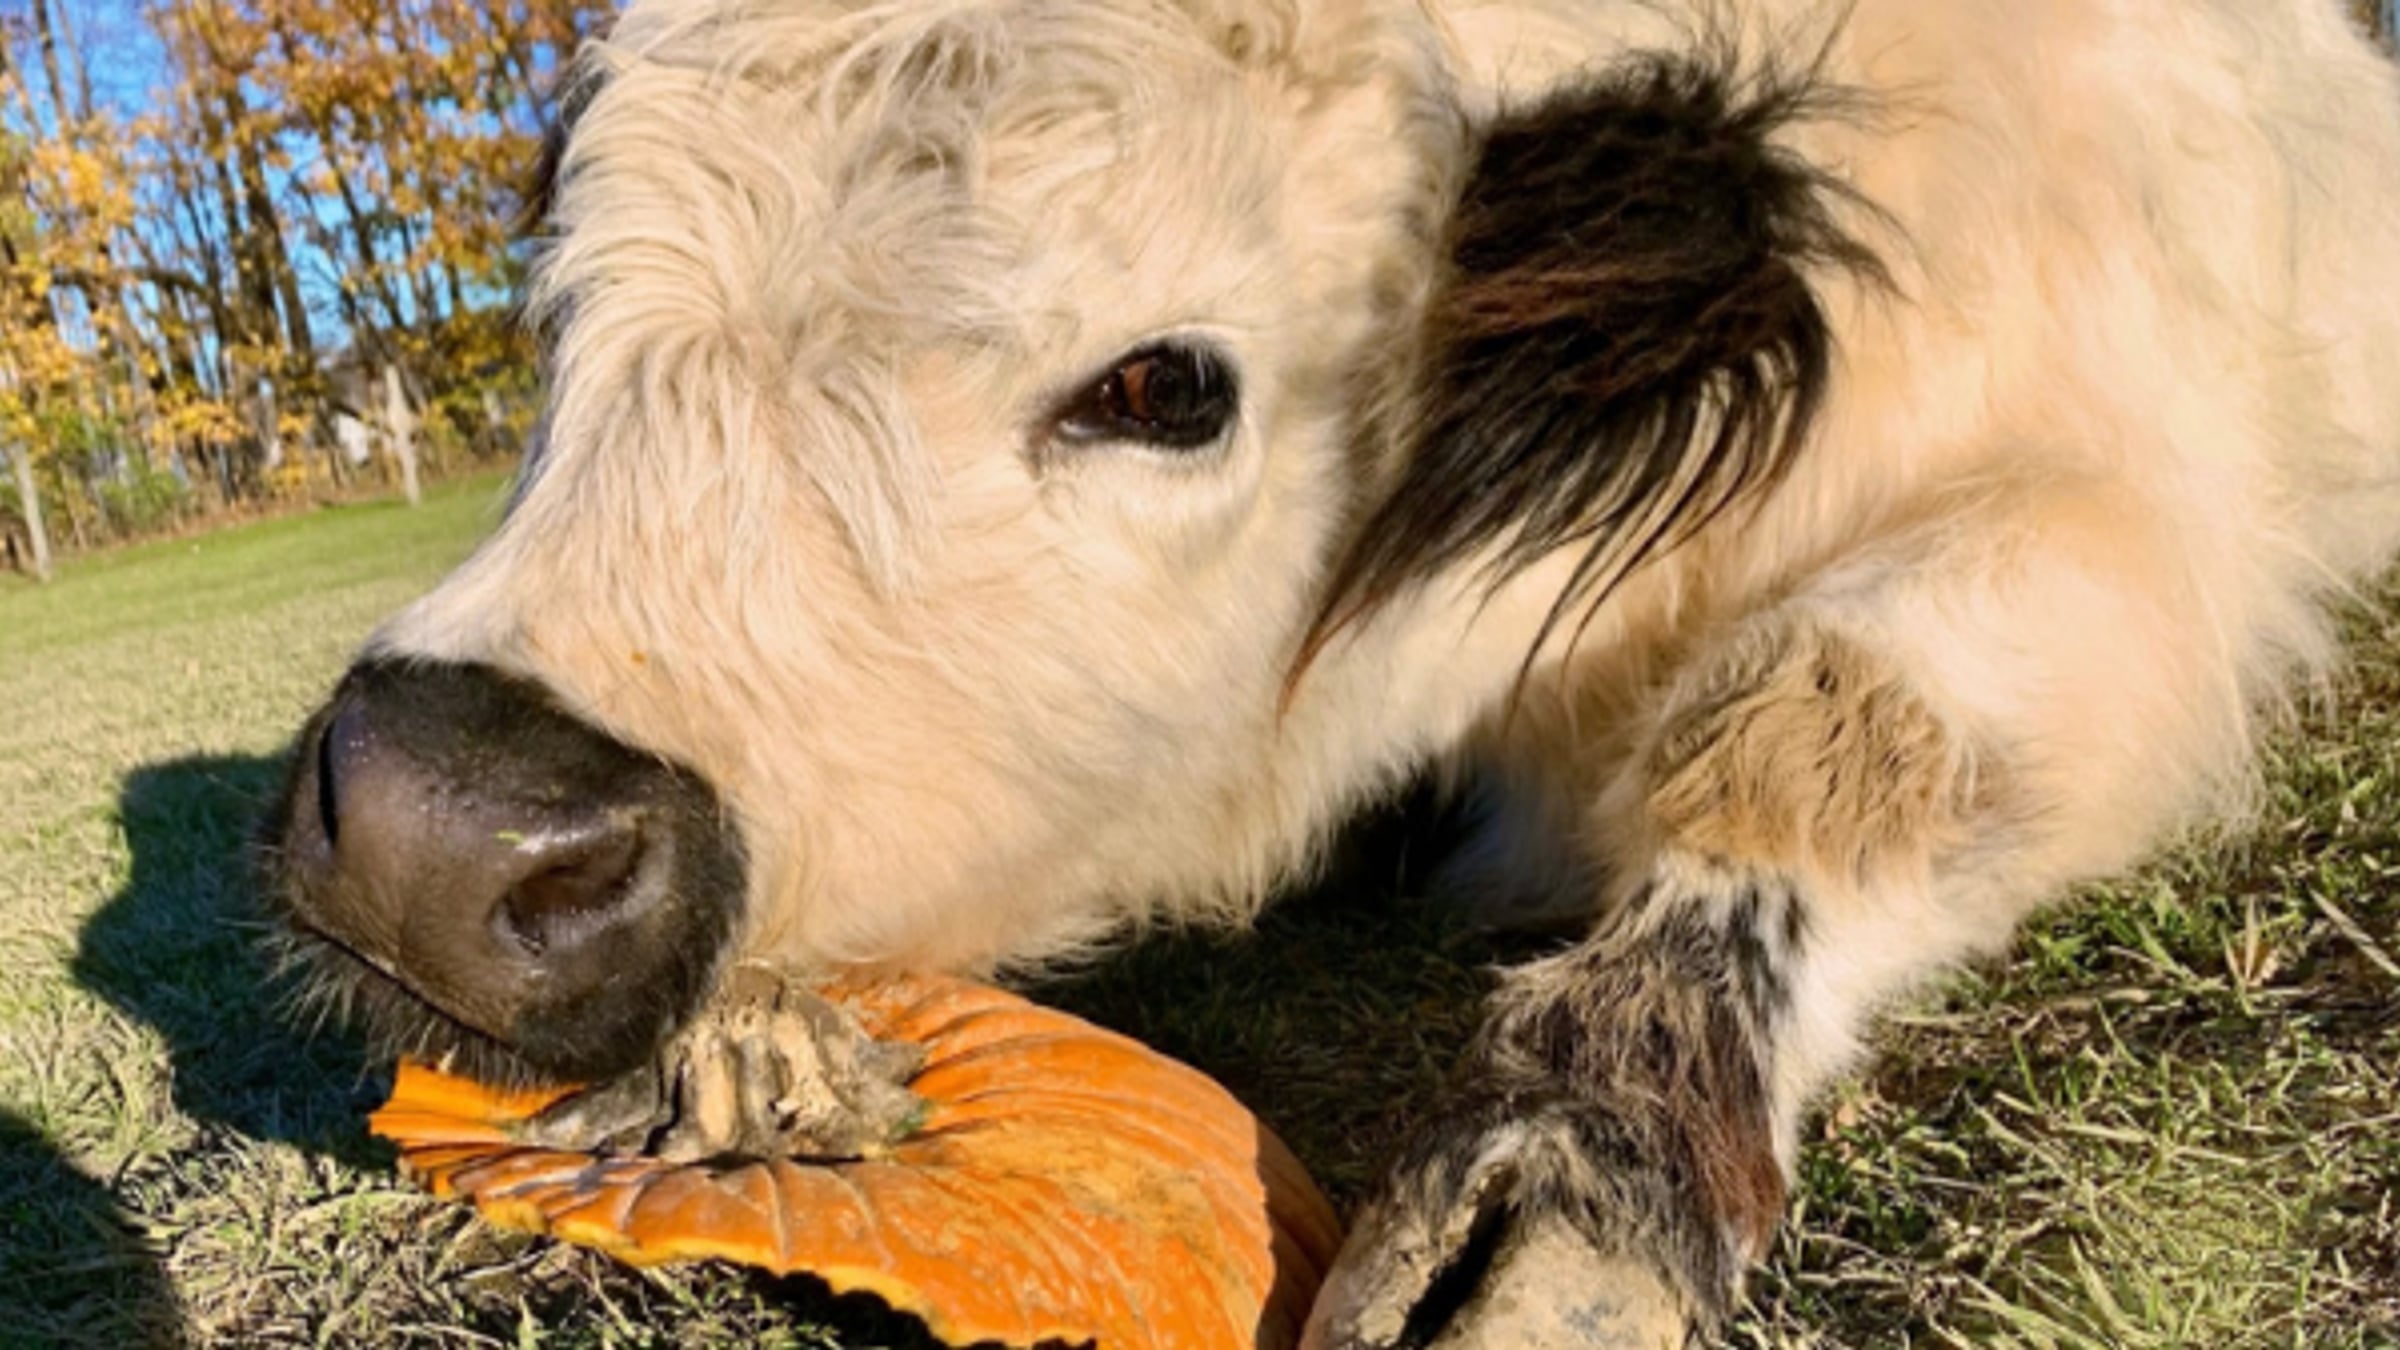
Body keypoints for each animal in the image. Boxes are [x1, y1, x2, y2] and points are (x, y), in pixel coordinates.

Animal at [263, 0, 2400, 1343]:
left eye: (1163, 385)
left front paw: (1583, 1164)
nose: (443, 823)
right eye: (566, 272)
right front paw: (748, 1049)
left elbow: (1841, 726)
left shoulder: (2143, 520)